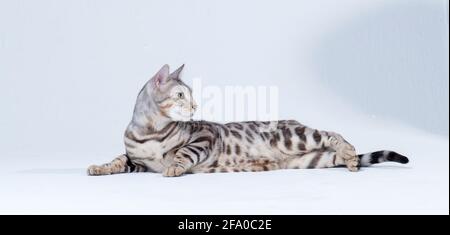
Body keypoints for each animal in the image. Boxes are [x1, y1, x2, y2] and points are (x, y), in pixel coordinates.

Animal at [87, 64, 408, 176]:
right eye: (180, 95)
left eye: (190, 95)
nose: (195, 105)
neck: (149, 131)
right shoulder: (137, 161)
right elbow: (117, 160)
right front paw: (100, 168)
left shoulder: (202, 137)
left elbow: (183, 153)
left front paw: (175, 167)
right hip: (311, 160)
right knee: (335, 152)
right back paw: (349, 159)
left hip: (295, 136)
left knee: (334, 134)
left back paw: (350, 152)